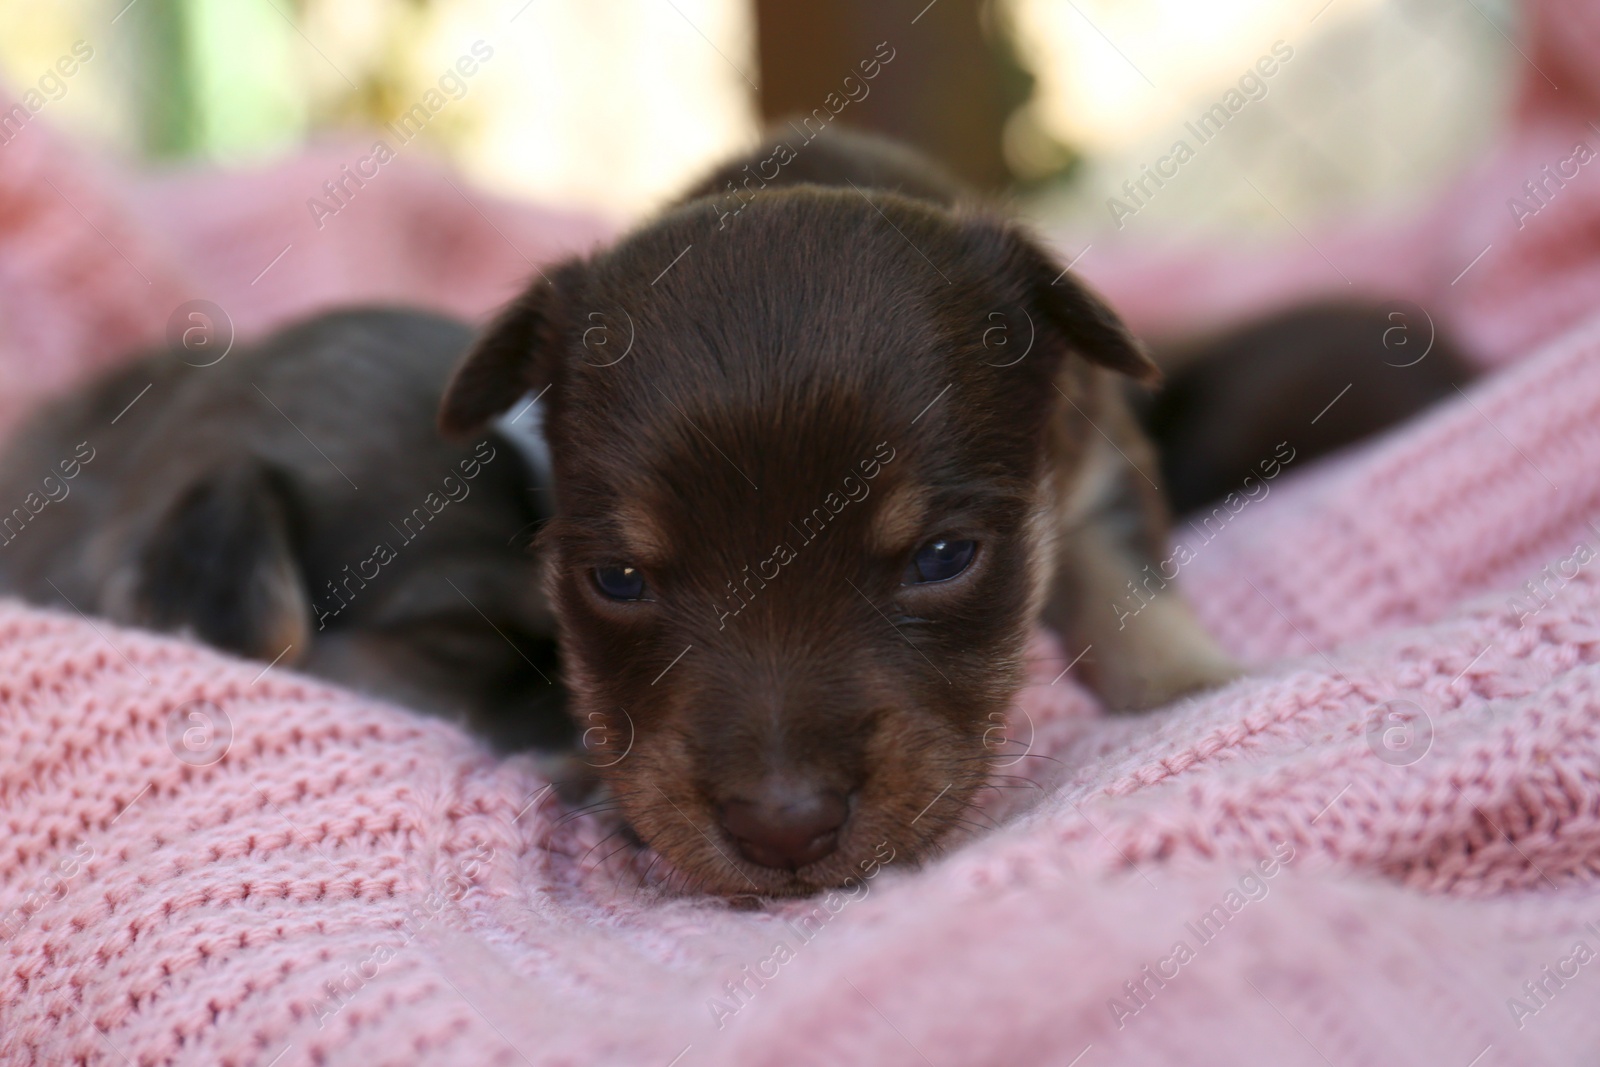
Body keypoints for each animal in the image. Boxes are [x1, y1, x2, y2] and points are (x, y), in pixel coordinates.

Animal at [438, 131, 1235, 902]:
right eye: (618, 578)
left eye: (944, 556)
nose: (783, 829)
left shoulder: (1100, 452)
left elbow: (1124, 581)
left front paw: (1192, 684)